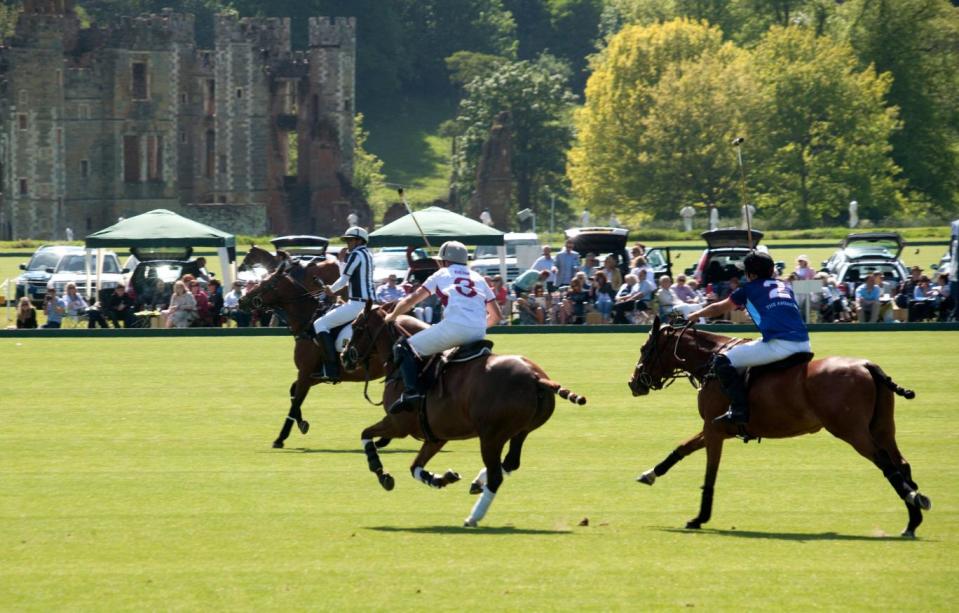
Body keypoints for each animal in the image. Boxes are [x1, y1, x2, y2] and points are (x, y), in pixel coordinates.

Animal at [236, 256, 382, 448]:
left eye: (267, 283)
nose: (241, 301)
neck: (308, 322)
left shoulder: (305, 372)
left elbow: (296, 400)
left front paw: (280, 438)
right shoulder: (315, 375)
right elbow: (293, 393)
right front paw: (302, 423)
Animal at [342, 304, 588, 528]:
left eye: (356, 327)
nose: (345, 356)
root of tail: (537, 377)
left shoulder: (398, 424)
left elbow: (365, 434)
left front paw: (380, 472)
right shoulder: (436, 436)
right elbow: (415, 467)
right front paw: (440, 478)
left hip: (491, 436)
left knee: (497, 474)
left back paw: (473, 517)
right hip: (521, 431)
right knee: (510, 462)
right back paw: (477, 483)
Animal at [628, 316, 932, 536]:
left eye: (645, 349)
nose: (634, 383)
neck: (711, 362)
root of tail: (869, 366)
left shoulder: (715, 430)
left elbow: (709, 474)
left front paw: (699, 517)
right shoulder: (718, 428)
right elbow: (682, 448)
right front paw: (650, 473)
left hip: (852, 431)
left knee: (885, 463)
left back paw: (915, 500)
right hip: (882, 427)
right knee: (901, 463)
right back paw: (912, 521)